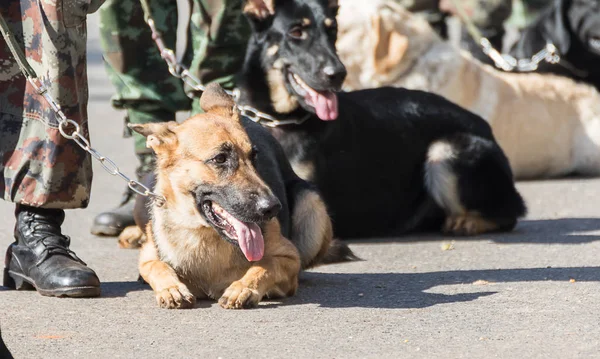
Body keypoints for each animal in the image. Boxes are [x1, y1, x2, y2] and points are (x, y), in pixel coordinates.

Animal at [126, 83, 352, 310]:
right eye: (220, 159)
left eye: (254, 156)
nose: (273, 208)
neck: (205, 236)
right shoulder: (148, 256)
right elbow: (157, 266)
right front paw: (171, 288)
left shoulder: (289, 258)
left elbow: (266, 264)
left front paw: (243, 287)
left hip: (310, 201)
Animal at [237, 0, 528, 242]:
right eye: (296, 32)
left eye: (333, 32)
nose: (337, 74)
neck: (281, 120)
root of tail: (485, 126)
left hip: (444, 151)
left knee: (509, 214)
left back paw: (467, 222)